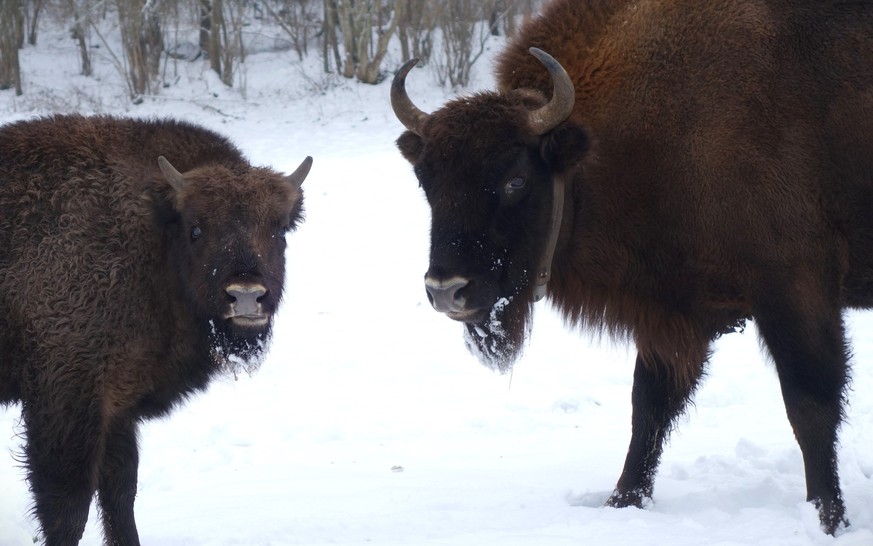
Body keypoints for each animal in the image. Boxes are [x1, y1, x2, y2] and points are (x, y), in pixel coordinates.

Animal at [0, 112, 312, 540]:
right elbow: (69, 507)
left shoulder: (118, 403)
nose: (246, 295)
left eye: (279, 230)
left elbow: (120, 493)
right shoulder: (67, 397)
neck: (156, 235)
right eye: (196, 229)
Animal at [392, 0, 872, 532]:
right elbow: (650, 406)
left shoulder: (795, 294)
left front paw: (828, 518)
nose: (446, 290)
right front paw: (622, 501)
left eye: (515, 180)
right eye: (427, 180)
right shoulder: (674, 316)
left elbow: (810, 406)